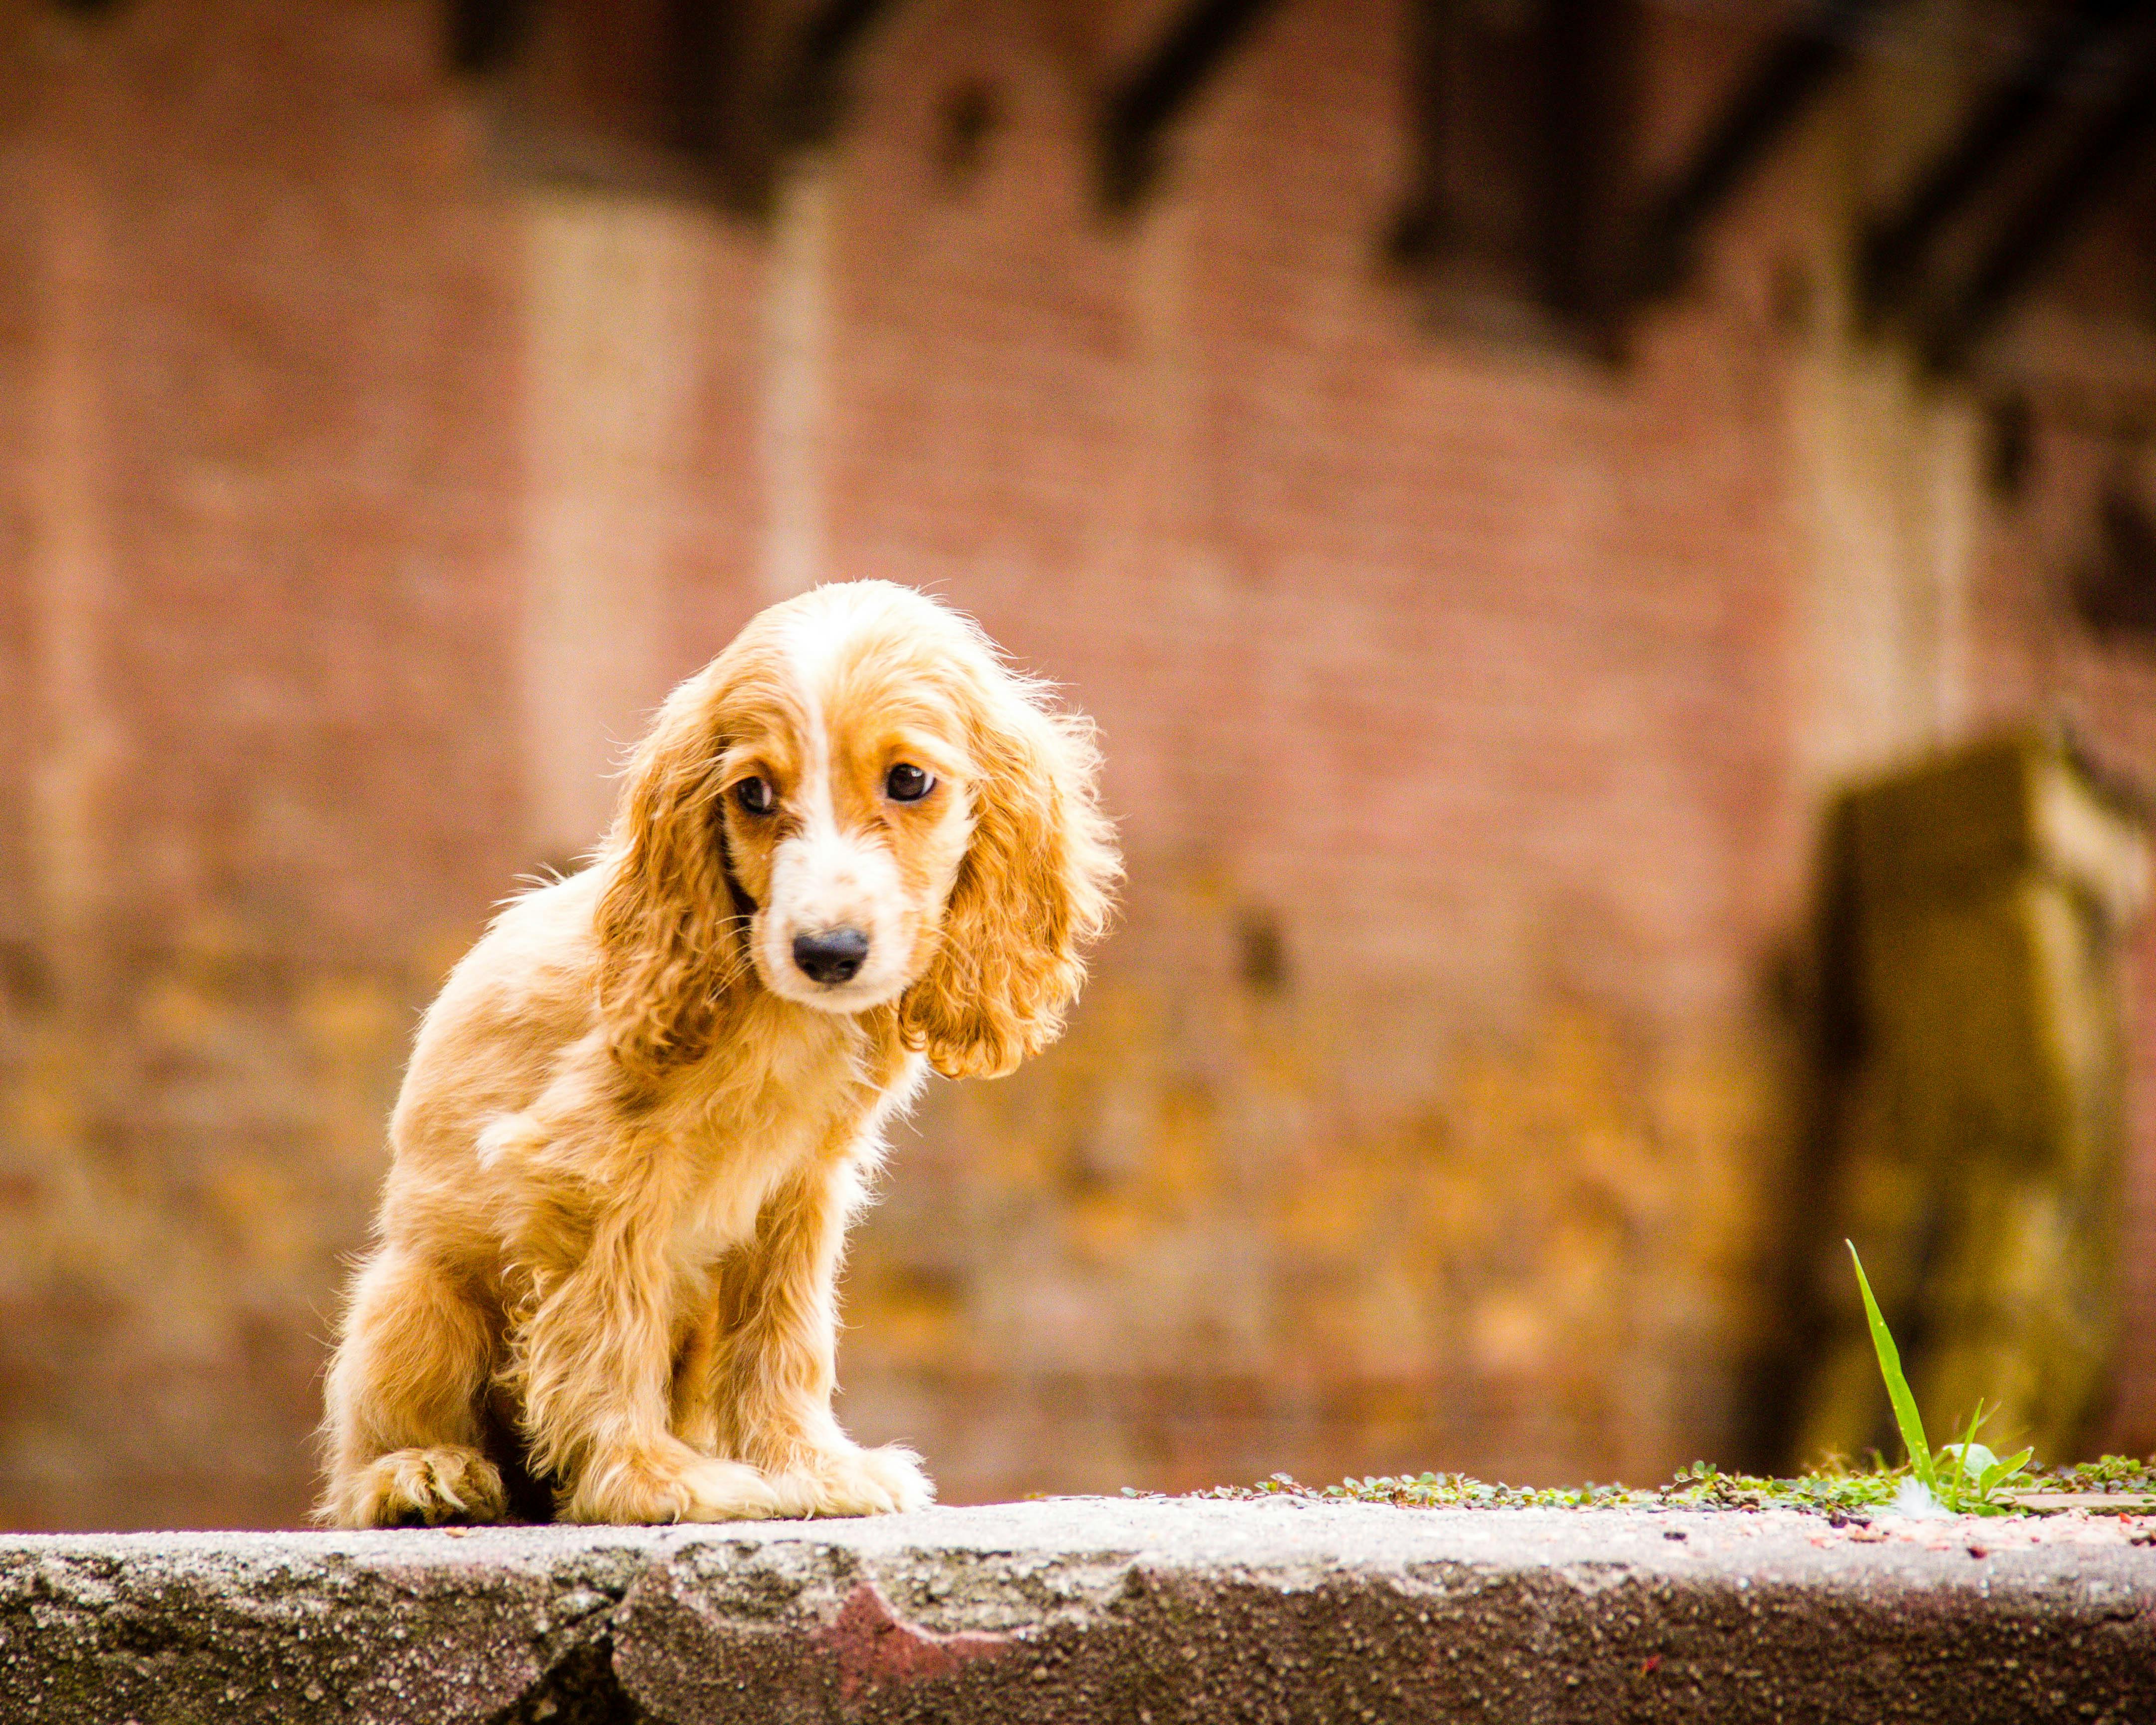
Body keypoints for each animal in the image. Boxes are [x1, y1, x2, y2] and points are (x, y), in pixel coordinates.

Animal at [332, 577, 1129, 1526]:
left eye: (909, 781)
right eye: (753, 794)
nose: (828, 952)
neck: (784, 1014)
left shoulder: (802, 1189)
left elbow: (784, 1335)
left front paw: (809, 1467)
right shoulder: (590, 1169)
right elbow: (608, 1328)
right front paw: (646, 1478)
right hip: (420, 1295)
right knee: (363, 1457)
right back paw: (421, 1474)